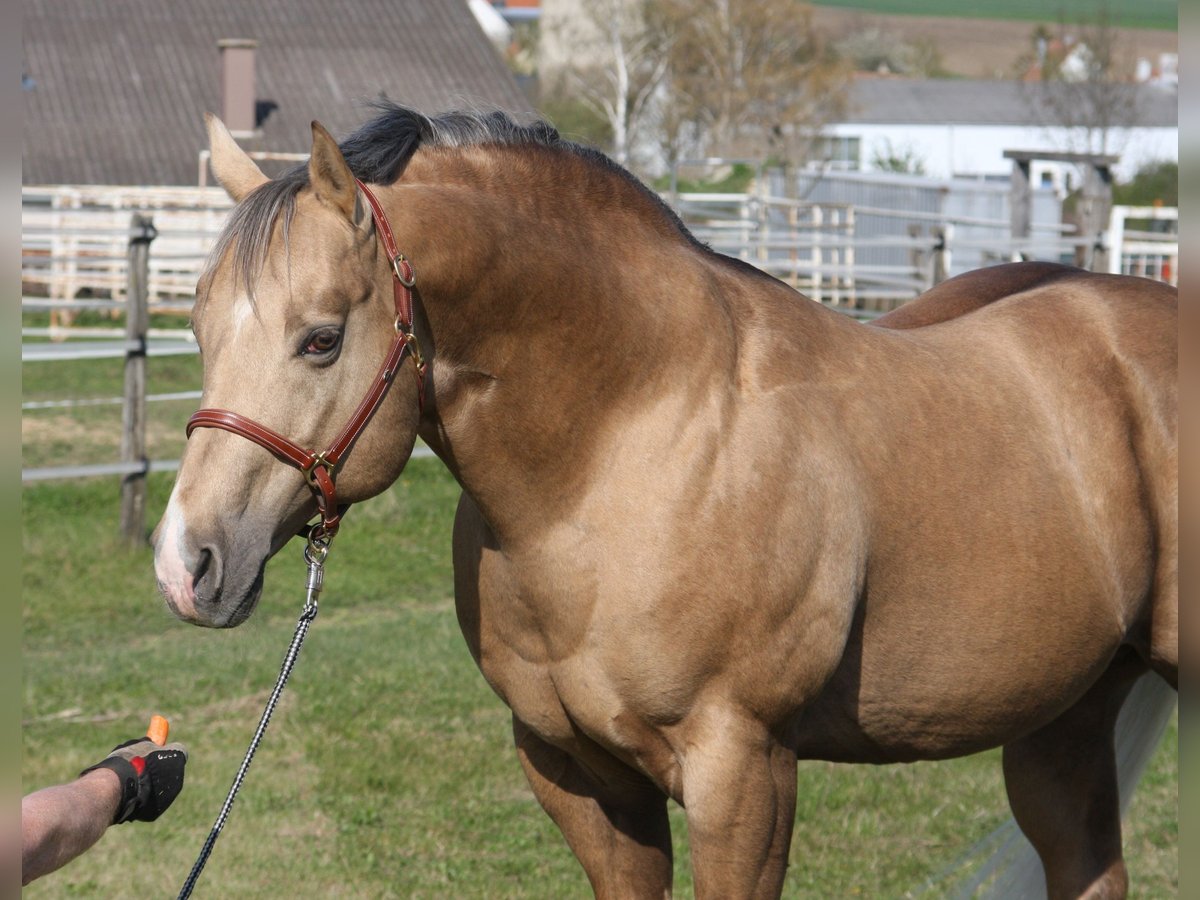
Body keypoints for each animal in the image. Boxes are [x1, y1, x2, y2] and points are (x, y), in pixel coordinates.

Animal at [153, 103, 1177, 899]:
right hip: (1064, 721)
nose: (185, 564)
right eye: (197, 327)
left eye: (321, 339)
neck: (622, 450)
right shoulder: (582, 776)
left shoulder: (744, 776)